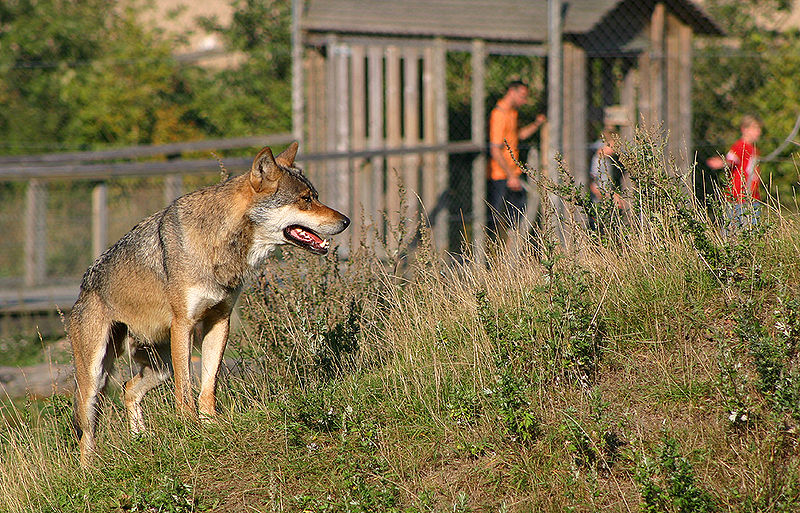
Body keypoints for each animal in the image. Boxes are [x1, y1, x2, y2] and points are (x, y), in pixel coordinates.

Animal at [71, 143, 350, 464]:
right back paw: (89, 470)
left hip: (160, 366)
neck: (220, 243)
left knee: (129, 389)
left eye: (315, 195)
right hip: (96, 377)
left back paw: (139, 439)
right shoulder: (184, 324)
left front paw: (211, 424)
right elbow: (185, 391)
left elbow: (208, 383)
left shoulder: (220, 320)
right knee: (87, 433)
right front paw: (190, 428)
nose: (346, 220)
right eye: (305, 199)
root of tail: (83, 285)